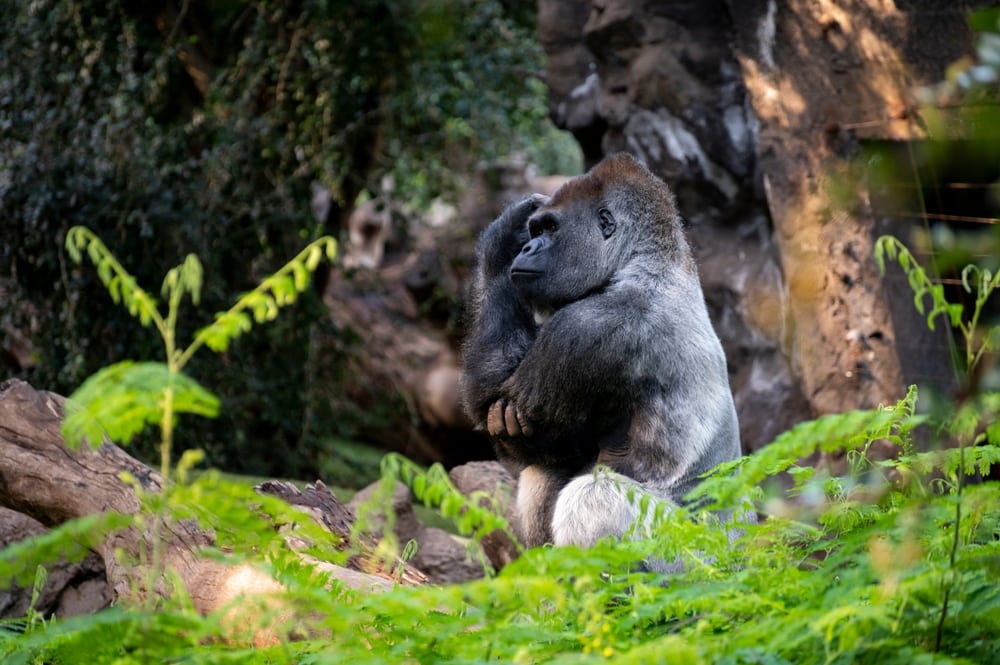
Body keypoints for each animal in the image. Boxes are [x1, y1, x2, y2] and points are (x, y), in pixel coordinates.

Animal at [461, 152, 742, 553]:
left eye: (550, 229)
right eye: (535, 231)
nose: (527, 249)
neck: (645, 260)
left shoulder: (585, 326)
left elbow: (494, 404)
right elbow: (545, 443)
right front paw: (504, 233)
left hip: (701, 556)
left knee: (594, 494)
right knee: (547, 471)